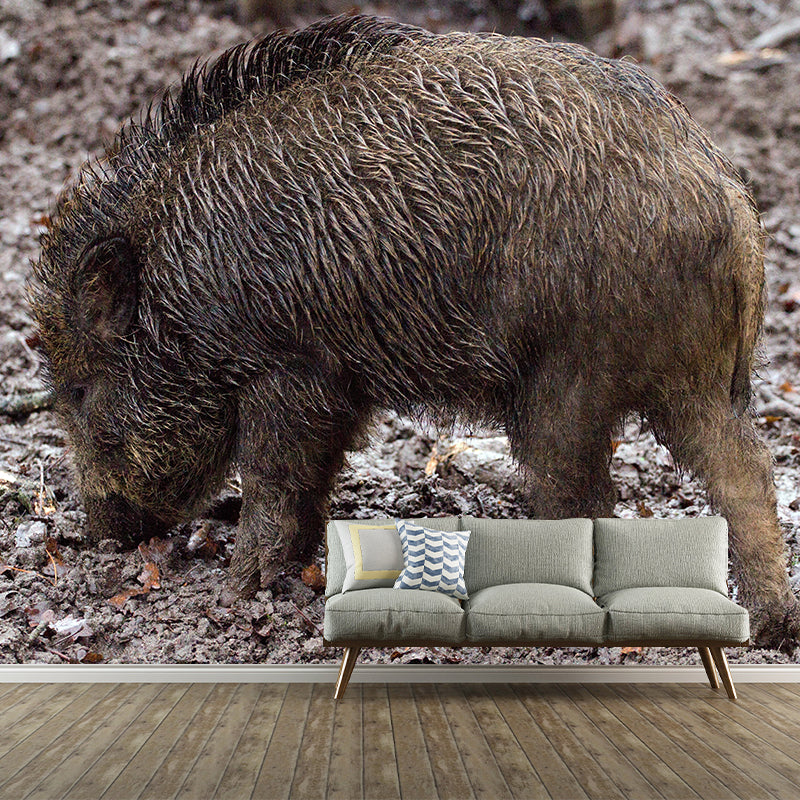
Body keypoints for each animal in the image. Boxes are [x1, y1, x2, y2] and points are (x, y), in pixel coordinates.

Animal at [29, 15, 799, 648]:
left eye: (79, 389)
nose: (99, 534)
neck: (180, 291)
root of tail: (724, 191)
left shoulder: (286, 372)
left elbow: (273, 482)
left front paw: (236, 593)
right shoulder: (337, 388)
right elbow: (311, 484)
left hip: (572, 375)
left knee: (582, 493)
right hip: (694, 375)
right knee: (744, 473)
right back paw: (770, 626)